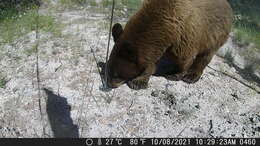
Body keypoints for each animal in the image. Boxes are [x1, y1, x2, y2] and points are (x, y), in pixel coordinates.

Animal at [101, 0, 232, 89]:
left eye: (117, 75)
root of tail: (228, 5)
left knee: (205, 56)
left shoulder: (184, 36)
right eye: (108, 70)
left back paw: (191, 76)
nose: (109, 84)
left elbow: (184, 59)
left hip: (215, 33)